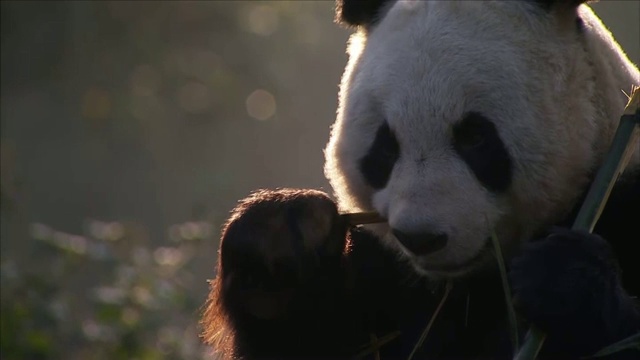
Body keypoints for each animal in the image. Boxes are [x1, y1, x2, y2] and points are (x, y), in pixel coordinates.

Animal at [202, 1, 636, 358]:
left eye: (474, 137)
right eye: (386, 145)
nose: (421, 238)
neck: (461, 285)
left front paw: (562, 278)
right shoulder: (384, 281)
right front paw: (280, 236)